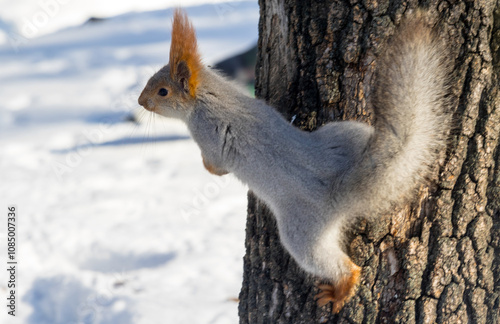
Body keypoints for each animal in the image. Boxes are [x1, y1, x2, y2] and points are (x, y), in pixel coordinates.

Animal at [138, 9, 454, 314]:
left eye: (162, 91)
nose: (141, 102)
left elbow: (215, 165)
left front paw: (209, 169)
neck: (208, 96)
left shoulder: (207, 137)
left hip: (301, 234)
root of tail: (339, 187)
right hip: (346, 133)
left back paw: (341, 288)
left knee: (339, 265)